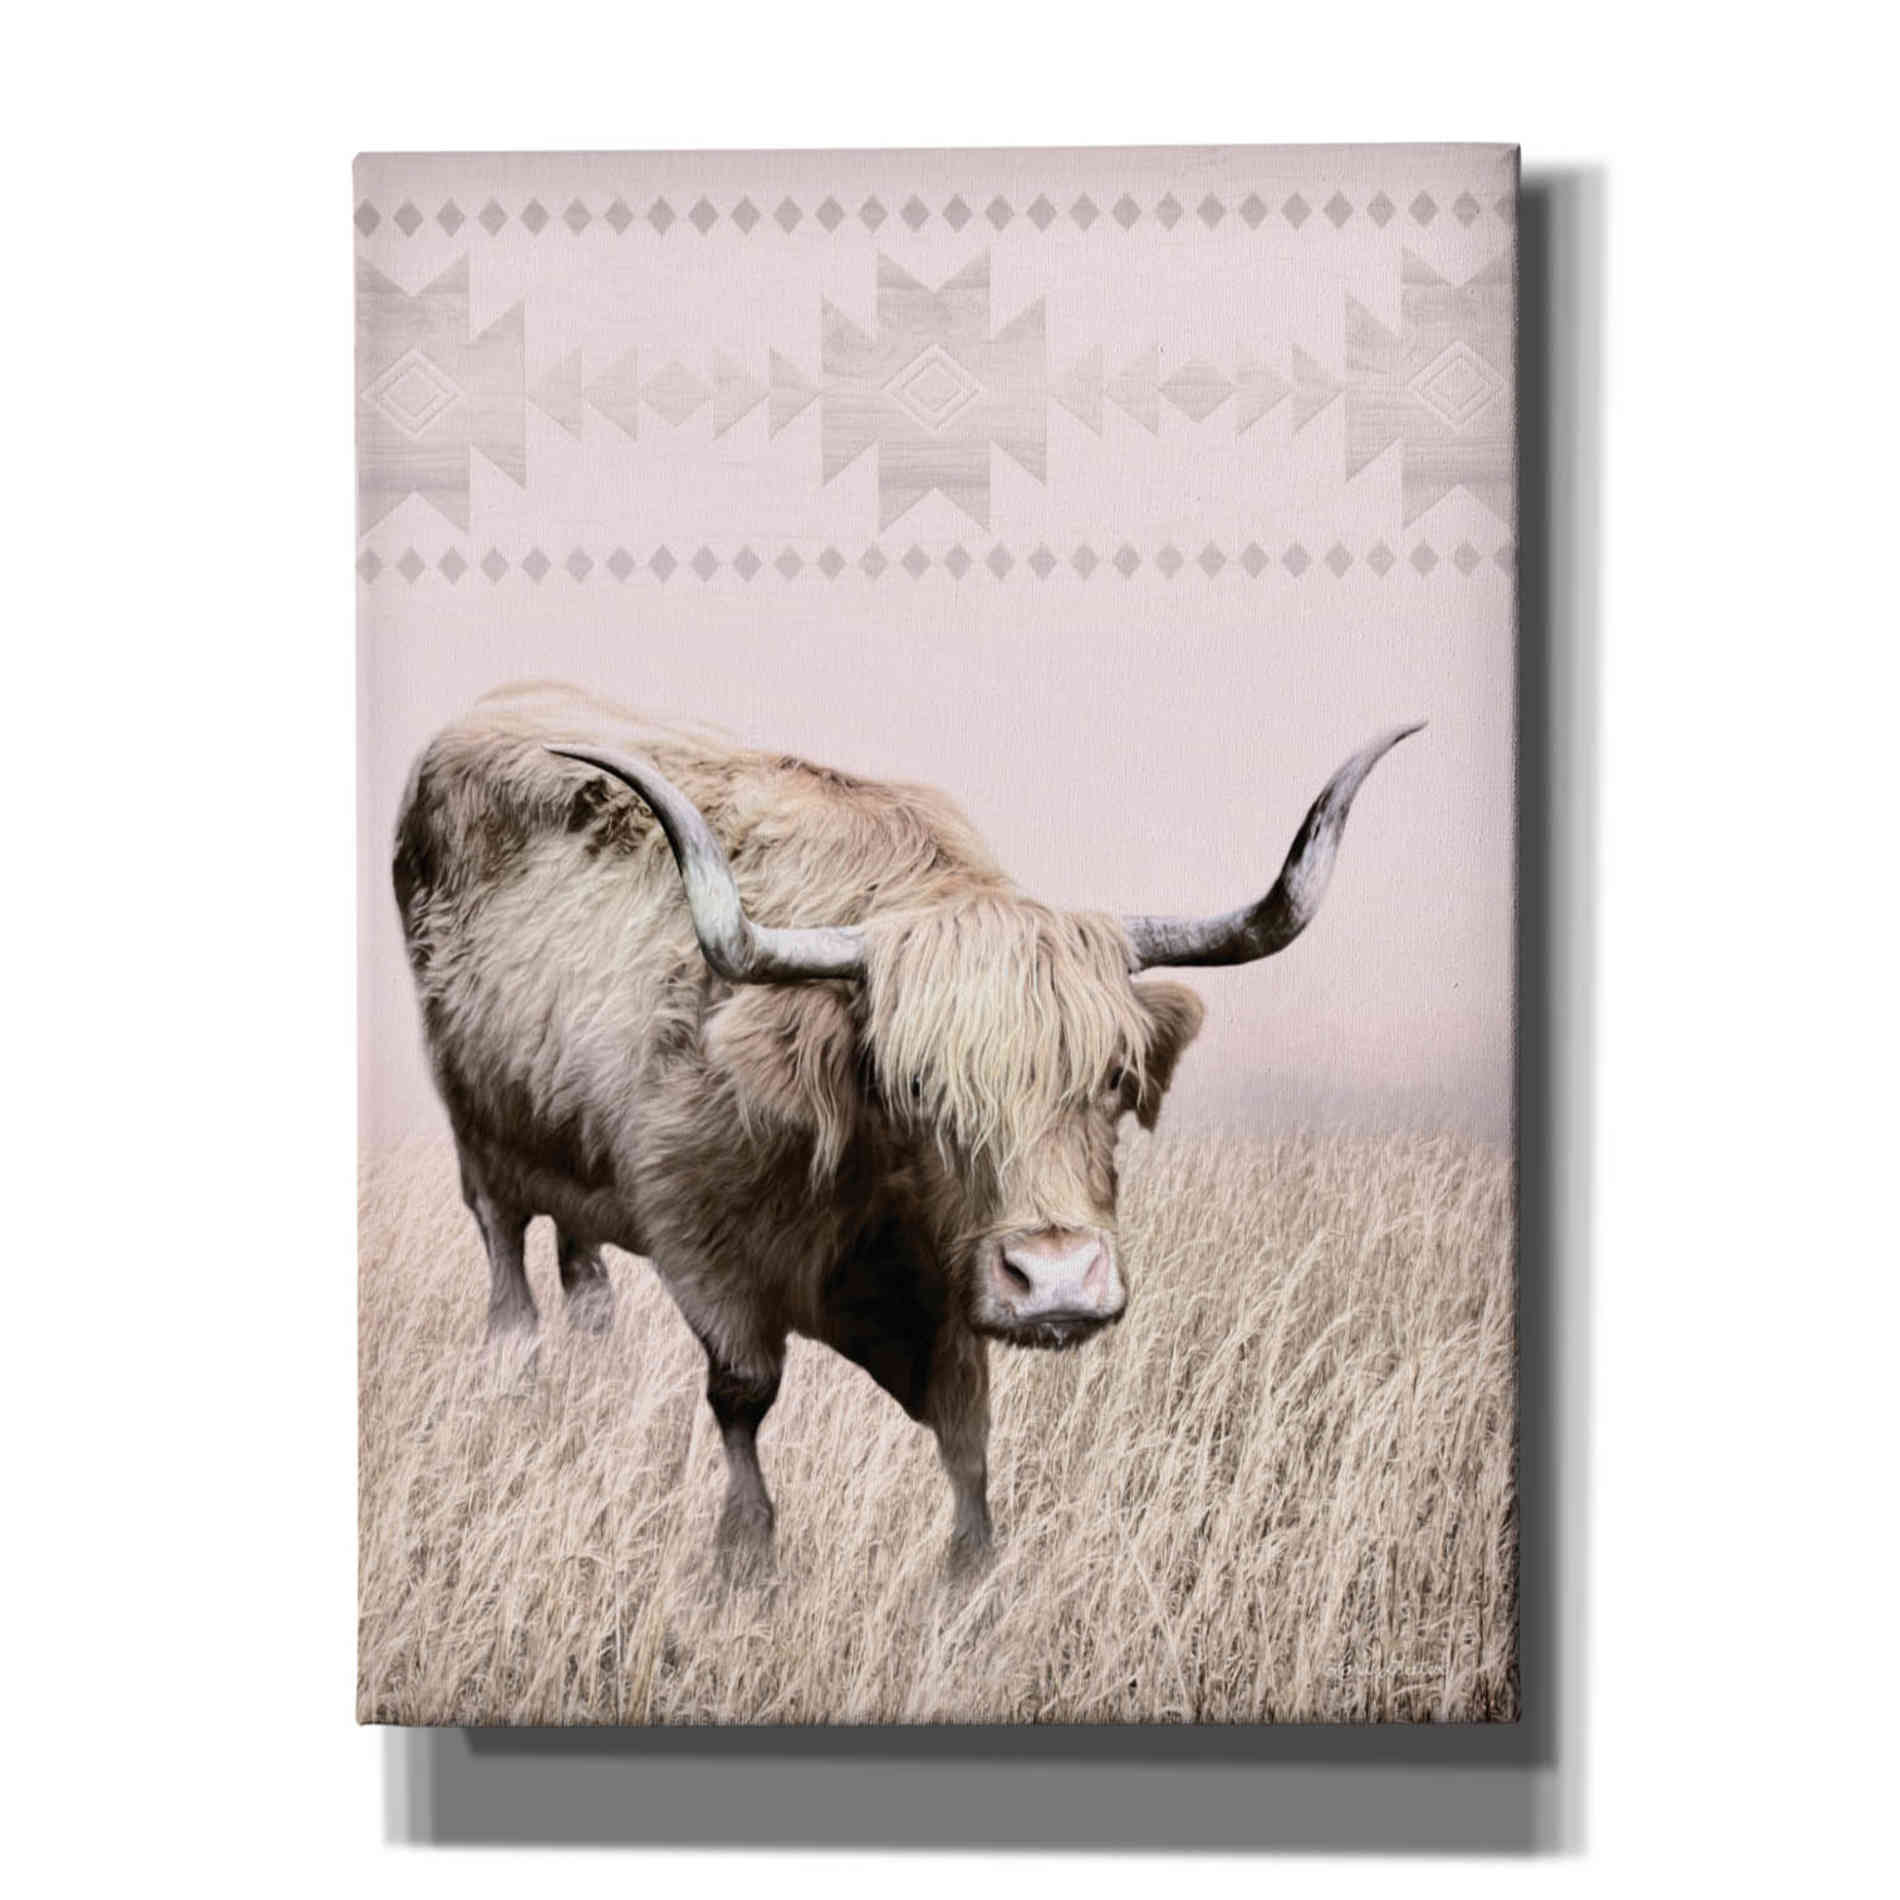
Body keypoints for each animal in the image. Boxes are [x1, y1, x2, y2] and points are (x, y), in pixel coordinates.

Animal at [392, 681, 1419, 1575]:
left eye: (1113, 1078)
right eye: (914, 1084)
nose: (1056, 1281)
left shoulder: (949, 1302)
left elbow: (967, 1437)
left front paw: (972, 1579)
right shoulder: (701, 1248)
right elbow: (742, 1397)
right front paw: (746, 1561)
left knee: (583, 1265)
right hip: (476, 1136)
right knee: (507, 1266)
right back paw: (520, 1378)